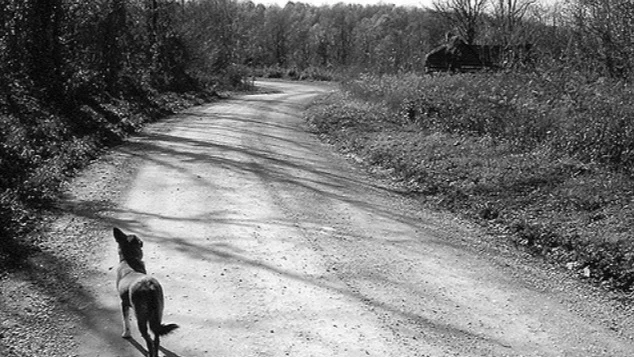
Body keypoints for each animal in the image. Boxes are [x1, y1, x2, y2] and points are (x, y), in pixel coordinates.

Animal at [112, 228, 178, 356]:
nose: (141, 242)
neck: (129, 259)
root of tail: (148, 285)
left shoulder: (123, 304)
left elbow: (125, 321)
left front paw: (126, 334)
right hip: (157, 313)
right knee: (156, 338)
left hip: (141, 317)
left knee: (149, 340)